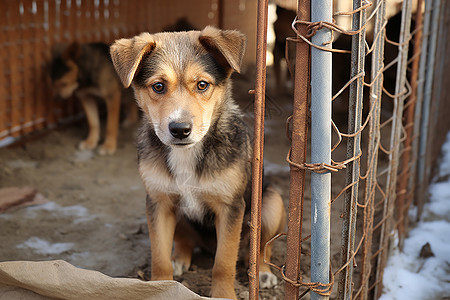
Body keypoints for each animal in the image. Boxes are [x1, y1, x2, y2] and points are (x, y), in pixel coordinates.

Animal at [110, 27, 284, 298]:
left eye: (202, 85)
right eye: (158, 86)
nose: (180, 130)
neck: (187, 154)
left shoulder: (230, 207)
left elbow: (223, 262)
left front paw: (224, 294)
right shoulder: (158, 202)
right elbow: (159, 256)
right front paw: (160, 286)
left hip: (272, 203)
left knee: (261, 247)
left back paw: (263, 272)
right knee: (184, 241)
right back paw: (179, 259)